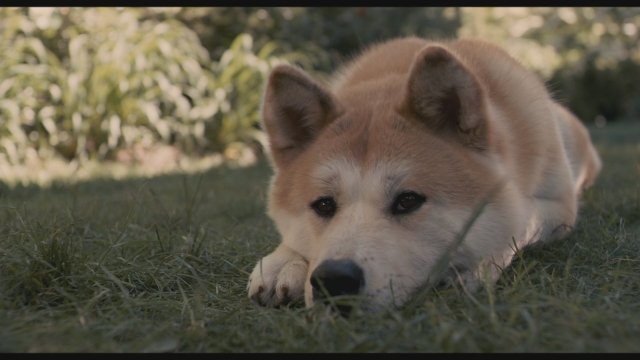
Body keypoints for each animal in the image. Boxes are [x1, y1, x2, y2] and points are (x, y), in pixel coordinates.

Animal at [245, 37, 600, 312]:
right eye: (323, 205)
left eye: (408, 201)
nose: (334, 279)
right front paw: (284, 262)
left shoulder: (558, 207)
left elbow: (522, 222)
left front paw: (476, 265)